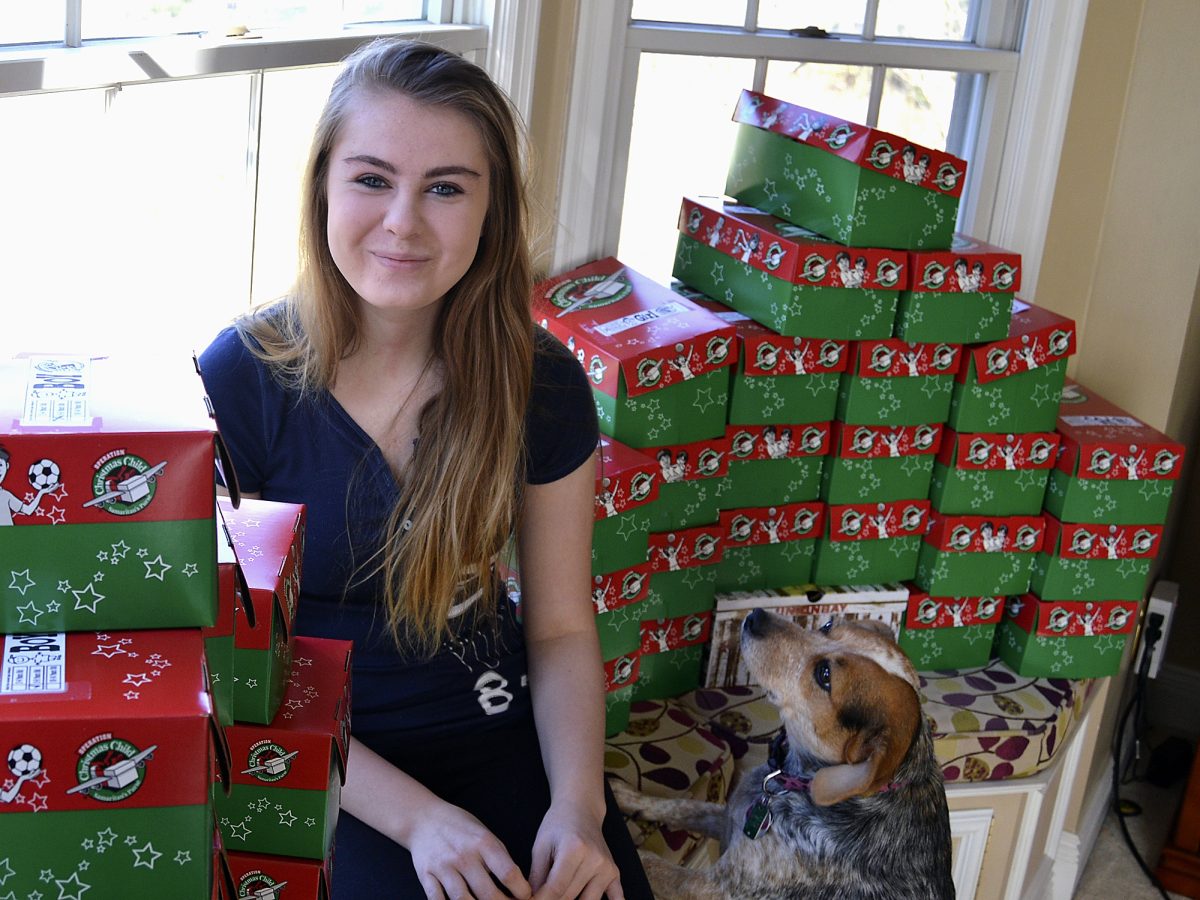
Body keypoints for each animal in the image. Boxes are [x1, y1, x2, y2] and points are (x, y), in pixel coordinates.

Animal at [611, 611, 955, 899]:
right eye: (827, 625)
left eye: (825, 675)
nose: (756, 615)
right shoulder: (729, 817)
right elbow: (679, 805)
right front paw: (625, 796)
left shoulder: (715, 886)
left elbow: (647, 864)